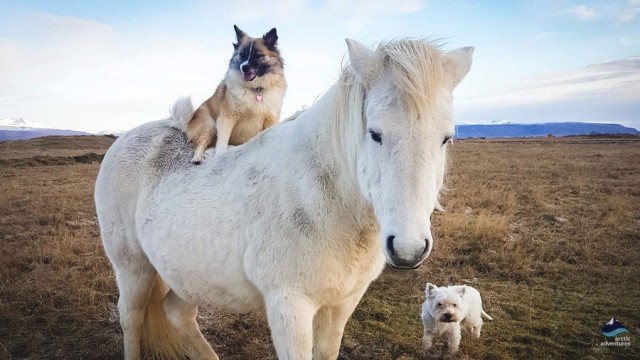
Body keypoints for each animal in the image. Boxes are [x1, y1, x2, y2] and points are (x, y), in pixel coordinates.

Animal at [185, 25, 284, 165]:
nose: (244, 67)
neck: (256, 89)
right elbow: (222, 142)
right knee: (201, 144)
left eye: (258, 55)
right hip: (209, 127)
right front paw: (220, 156)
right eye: (242, 55)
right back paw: (197, 158)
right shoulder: (227, 118)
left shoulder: (270, 119)